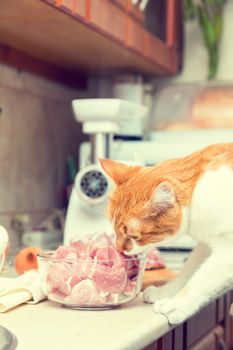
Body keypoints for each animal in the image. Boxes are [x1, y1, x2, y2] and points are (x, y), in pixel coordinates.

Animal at [100, 144, 233, 324]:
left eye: (133, 236)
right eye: (114, 228)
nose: (119, 248)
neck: (198, 192)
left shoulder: (227, 252)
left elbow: (200, 280)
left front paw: (177, 303)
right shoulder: (207, 243)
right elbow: (188, 269)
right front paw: (165, 292)